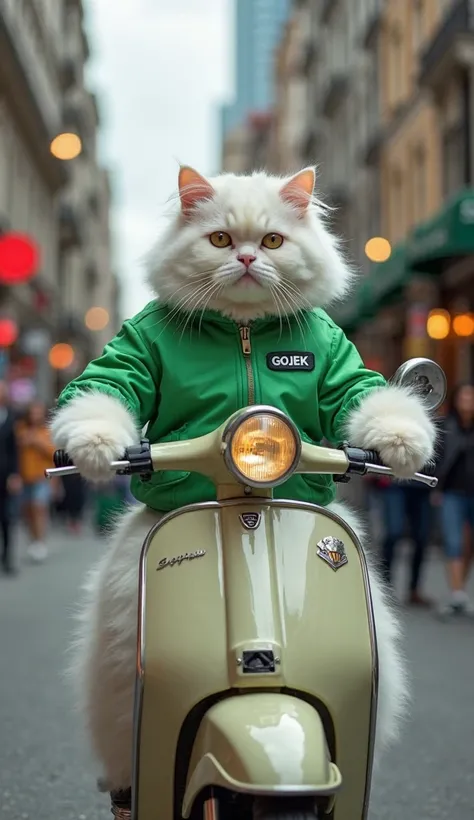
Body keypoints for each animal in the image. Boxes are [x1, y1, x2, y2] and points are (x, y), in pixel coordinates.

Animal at [51, 165, 434, 796]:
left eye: (274, 241)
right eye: (221, 240)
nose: (250, 259)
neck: (244, 330)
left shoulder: (340, 363)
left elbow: (365, 393)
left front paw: (405, 445)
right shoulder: (129, 354)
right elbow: (105, 385)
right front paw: (95, 447)